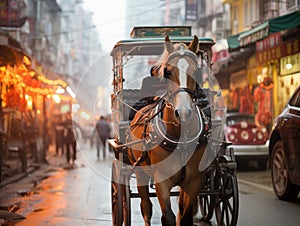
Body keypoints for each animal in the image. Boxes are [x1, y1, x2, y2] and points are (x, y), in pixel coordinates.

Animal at [127, 35, 210, 226]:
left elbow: (184, 217)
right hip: (140, 172)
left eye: (196, 71)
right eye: (168, 72)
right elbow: (168, 217)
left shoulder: (194, 180)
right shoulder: (161, 180)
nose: (184, 112)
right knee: (146, 207)